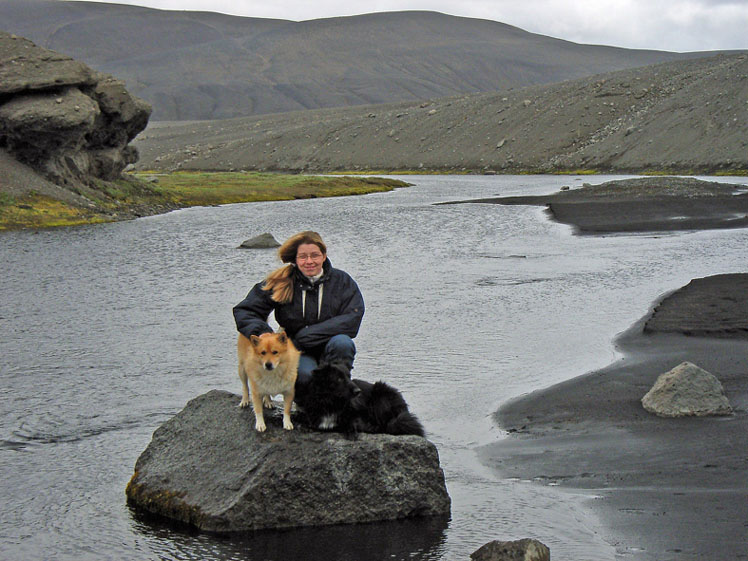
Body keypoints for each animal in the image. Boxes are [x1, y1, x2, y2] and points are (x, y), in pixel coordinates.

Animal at [294, 358, 424, 438]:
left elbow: (352, 420)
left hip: (380, 397)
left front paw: (351, 430)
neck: (331, 402)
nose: (358, 391)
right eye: (339, 378)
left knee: (386, 424)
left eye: (349, 376)